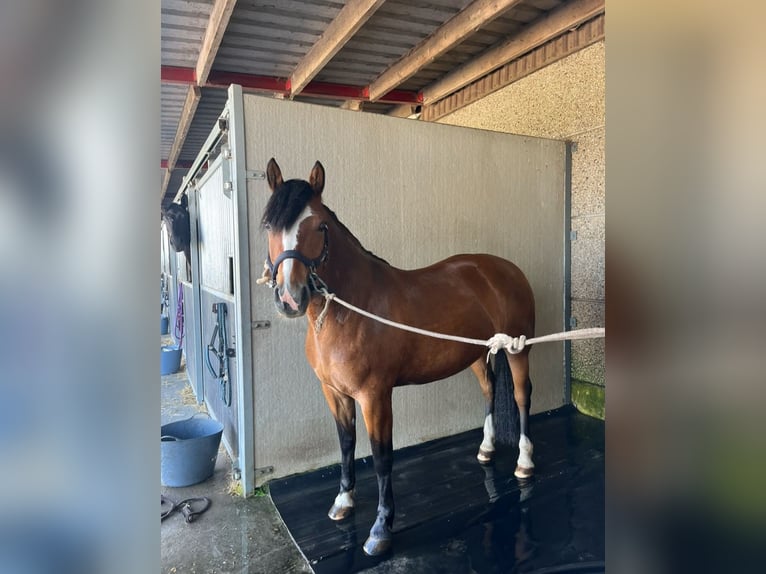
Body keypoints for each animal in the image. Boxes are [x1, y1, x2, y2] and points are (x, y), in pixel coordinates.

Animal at [261, 158, 536, 556]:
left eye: (319, 226)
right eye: (269, 224)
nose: (290, 298)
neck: (350, 309)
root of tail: (507, 269)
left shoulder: (375, 396)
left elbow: (381, 456)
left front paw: (380, 530)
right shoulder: (335, 393)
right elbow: (346, 444)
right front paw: (343, 501)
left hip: (519, 349)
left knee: (521, 396)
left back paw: (525, 463)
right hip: (477, 352)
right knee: (489, 390)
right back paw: (485, 449)